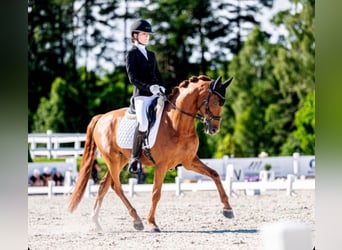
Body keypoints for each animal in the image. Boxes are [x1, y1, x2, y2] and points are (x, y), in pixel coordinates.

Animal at [69, 74, 235, 232]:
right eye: (214, 102)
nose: (214, 129)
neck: (177, 124)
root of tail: (102, 117)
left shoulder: (189, 161)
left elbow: (214, 174)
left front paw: (227, 209)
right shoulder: (161, 165)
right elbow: (156, 193)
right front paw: (152, 223)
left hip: (121, 160)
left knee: (104, 185)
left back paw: (97, 223)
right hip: (112, 160)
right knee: (116, 186)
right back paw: (137, 220)